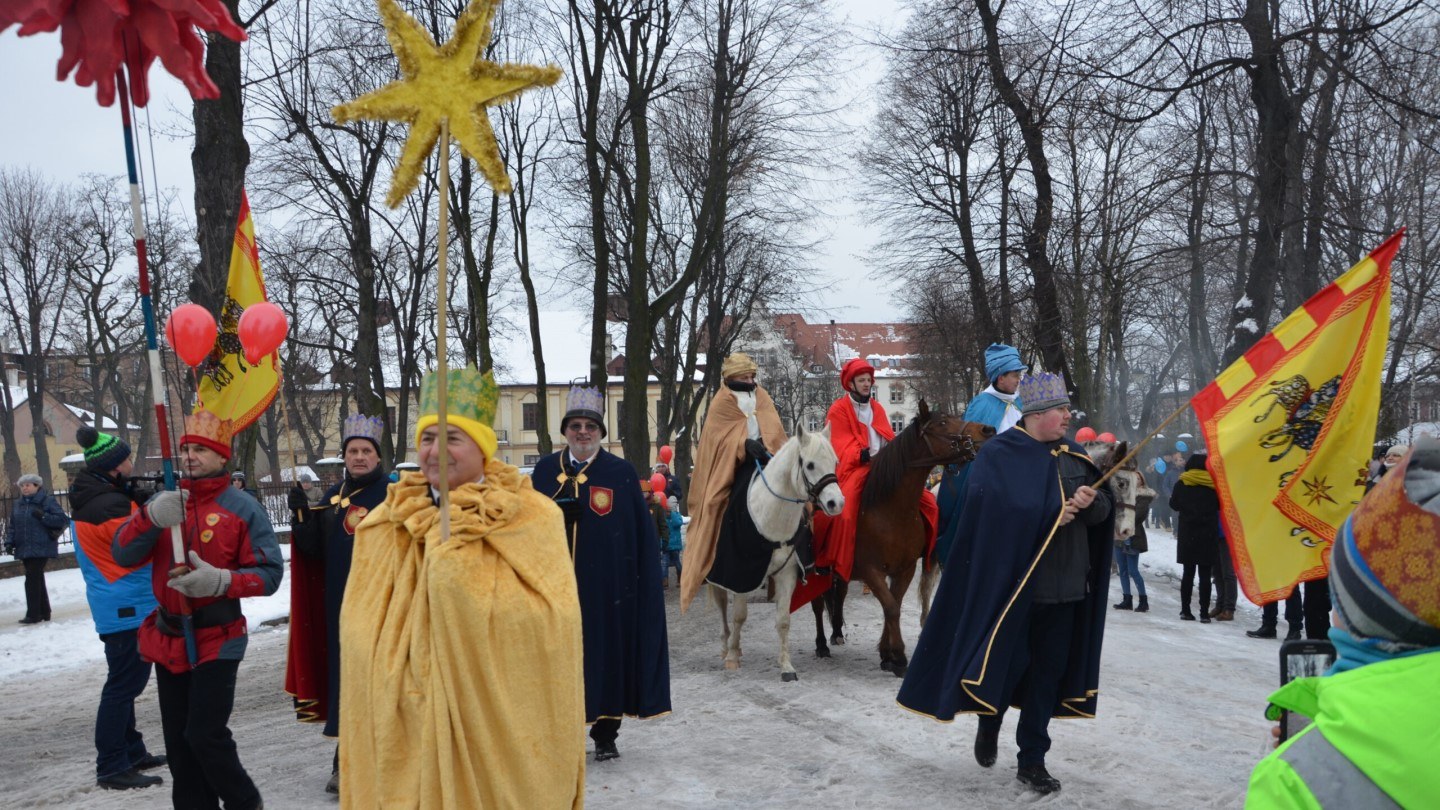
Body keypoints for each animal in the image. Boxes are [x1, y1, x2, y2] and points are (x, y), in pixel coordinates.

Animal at [714, 426, 846, 677]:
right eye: (810, 465)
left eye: (835, 462)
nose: (837, 503)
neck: (770, 516)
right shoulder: (741, 574)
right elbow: (739, 616)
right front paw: (733, 656)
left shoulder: (787, 574)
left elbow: (783, 620)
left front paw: (786, 666)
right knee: (722, 605)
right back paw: (726, 646)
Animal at [812, 397, 990, 674]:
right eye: (942, 423)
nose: (986, 430)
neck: (890, 511)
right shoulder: (871, 571)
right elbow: (892, 607)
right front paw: (899, 656)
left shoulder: (904, 569)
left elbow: (892, 604)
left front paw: (887, 654)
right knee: (818, 605)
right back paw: (821, 644)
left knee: (839, 595)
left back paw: (837, 632)